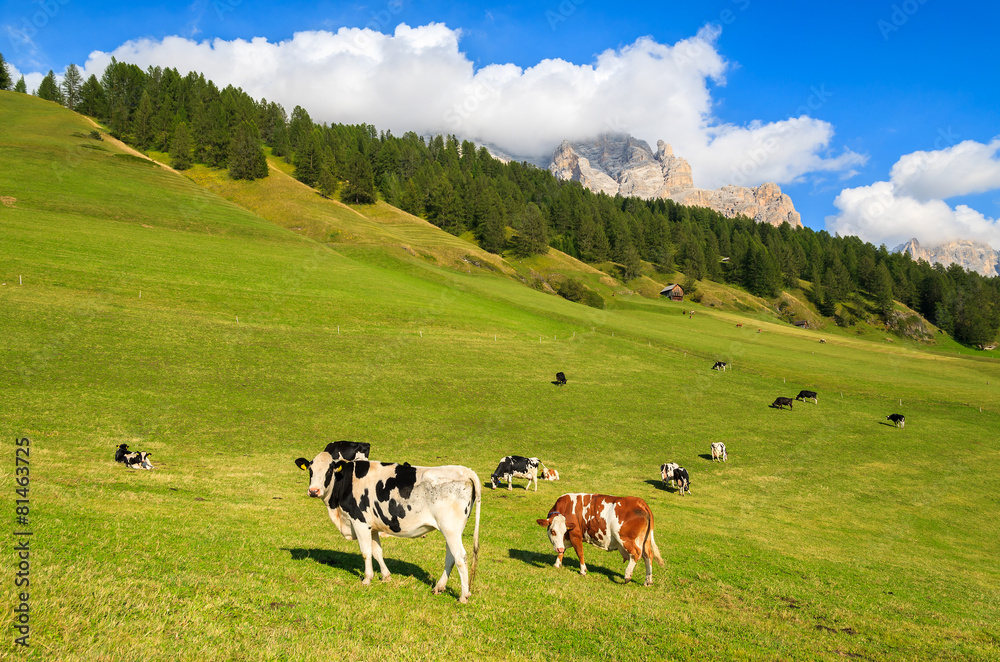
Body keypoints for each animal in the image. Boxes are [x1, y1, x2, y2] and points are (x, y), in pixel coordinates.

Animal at [294, 452, 481, 603]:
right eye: (310, 471)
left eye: (328, 471)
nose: (314, 491)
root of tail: (463, 470)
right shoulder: (373, 527)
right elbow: (377, 552)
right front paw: (385, 576)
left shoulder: (360, 522)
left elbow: (366, 552)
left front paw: (367, 579)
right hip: (451, 531)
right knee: (451, 557)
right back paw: (439, 587)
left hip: (450, 529)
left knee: (460, 557)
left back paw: (463, 596)